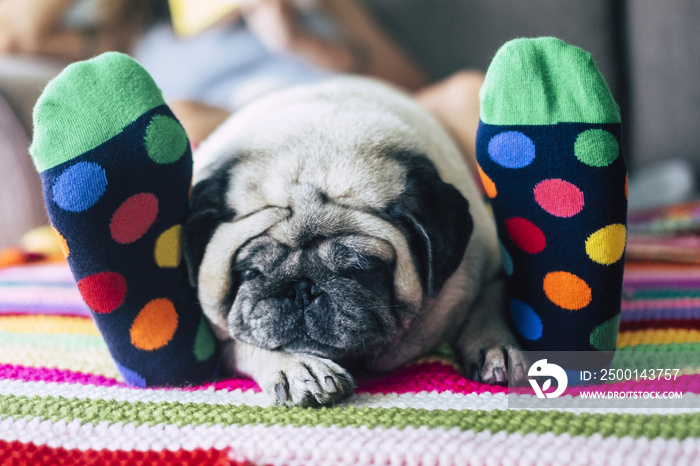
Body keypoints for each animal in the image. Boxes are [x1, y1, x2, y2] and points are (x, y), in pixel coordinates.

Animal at [183, 74, 528, 406]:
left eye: (360, 270)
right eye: (251, 273)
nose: (302, 289)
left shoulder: (486, 258)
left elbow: (490, 299)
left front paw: (494, 344)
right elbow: (245, 343)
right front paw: (295, 366)